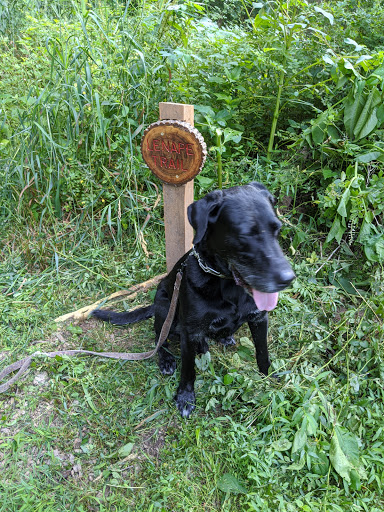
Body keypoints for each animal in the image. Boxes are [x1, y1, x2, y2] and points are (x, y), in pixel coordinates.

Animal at [91, 183, 296, 416]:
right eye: (245, 235)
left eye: (277, 229)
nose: (288, 279)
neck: (228, 286)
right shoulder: (189, 331)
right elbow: (187, 369)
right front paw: (185, 397)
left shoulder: (259, 319)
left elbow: (262, 352)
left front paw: (268, 376)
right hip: (164, 306)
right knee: (159, 337)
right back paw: (167, 359)